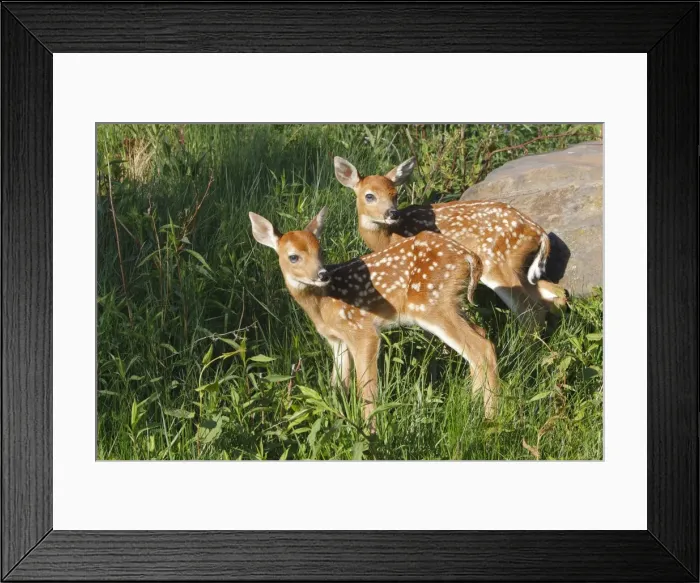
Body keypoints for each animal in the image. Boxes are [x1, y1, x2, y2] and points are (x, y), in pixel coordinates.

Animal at [248, 207, 499, 431]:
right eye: (293, 257)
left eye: (320, 251)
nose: (322, 275)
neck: (323, 305)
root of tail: (470, 257)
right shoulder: (337, 340)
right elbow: (337, 385)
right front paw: (338, 420)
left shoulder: (362, 330)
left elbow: (366, 388)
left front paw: (372, 431)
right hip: (453, 304)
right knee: (481, 338)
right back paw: (474, 407)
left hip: (433, 306)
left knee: (482, 349)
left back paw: (490, 418)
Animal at [333, 156, 569, 329]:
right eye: (369, 196)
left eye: (395, 194)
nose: (392, 213)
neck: (389, 237)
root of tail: (538, 231)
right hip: (519, 267)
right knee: (554, 292)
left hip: (497, 262)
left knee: (530, 308)